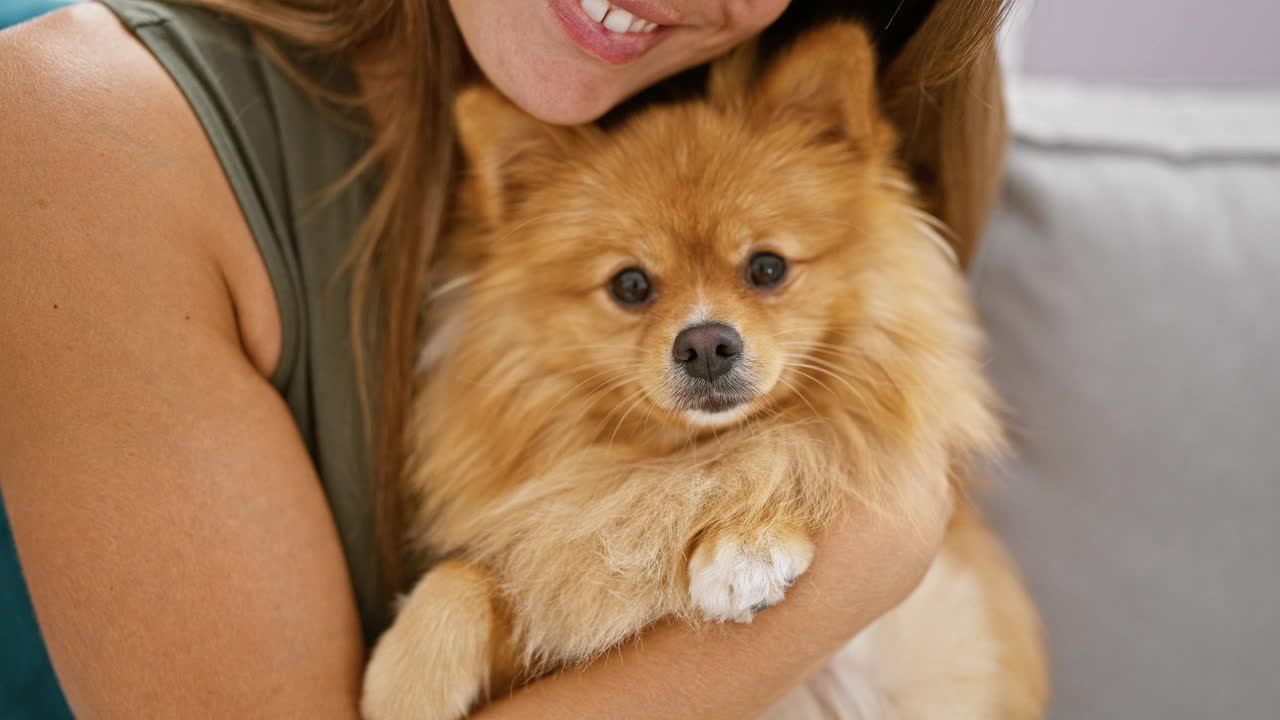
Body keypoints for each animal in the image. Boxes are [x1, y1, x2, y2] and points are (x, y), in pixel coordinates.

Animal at [366, 22, 1044, 717]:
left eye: (767, 268)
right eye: (631, 285)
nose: (706, 343)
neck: (678, 455)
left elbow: (789, 448)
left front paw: (748, 542)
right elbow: (462, 576)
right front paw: (404, 680)